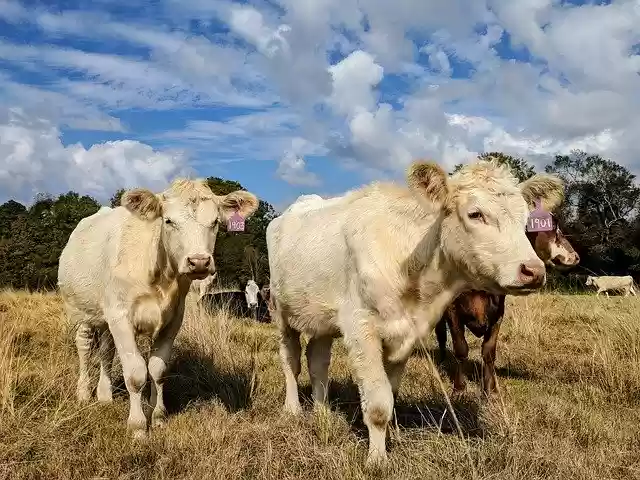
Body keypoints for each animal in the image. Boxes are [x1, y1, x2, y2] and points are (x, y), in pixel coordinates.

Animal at [57, 178, 258, 439]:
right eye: (169, 221)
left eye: (215, 222)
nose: (199, 262)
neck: (160, 276)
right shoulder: (121, 318)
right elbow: (135, 373)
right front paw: (138, 427)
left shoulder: (172, 320)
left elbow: (157, 369)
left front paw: (159, 416)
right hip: (79, 311)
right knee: (83, 348)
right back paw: (83, 393)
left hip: (106, 319)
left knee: (106, 352)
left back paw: (104, 395)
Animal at [266, 159, 565, 467]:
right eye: (475, 214)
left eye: (524, 219)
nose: (533, 271)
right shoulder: (361, 330)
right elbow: (378, 403)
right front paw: (377, 460)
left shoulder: (407, 334)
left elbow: (391, 393)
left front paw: (390, 438)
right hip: (280, 311)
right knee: (291, 360)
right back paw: (293, 409)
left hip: (322, 319)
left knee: (317, 361)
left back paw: (322, 412)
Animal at [434, 218, 580, 395]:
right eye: (555, 230)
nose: (576, 256)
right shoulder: (452, 310)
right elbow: (461, 348)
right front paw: (459, 389)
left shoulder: (498, 312)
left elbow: (489, 351)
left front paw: (491, 389)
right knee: (441, 334)